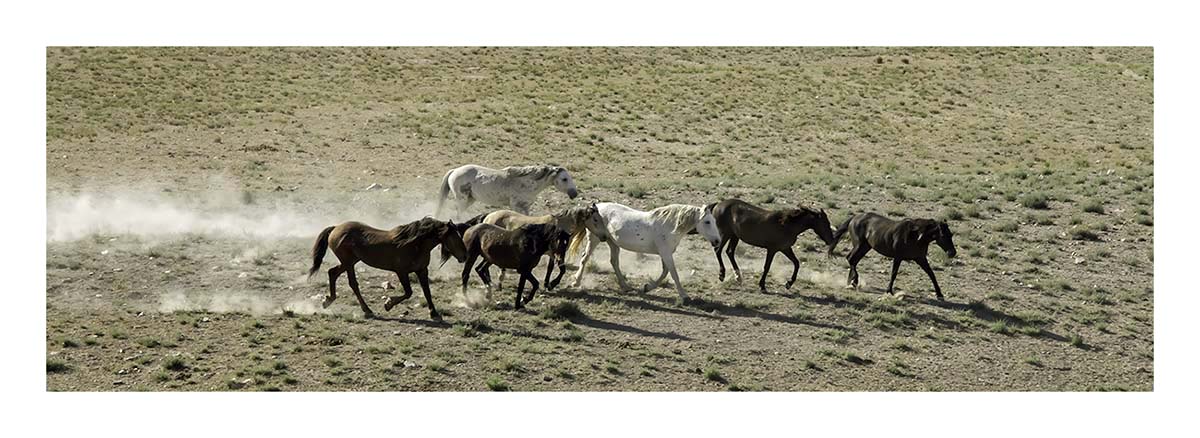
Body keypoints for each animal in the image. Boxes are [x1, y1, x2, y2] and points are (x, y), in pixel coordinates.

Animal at [308, 218, 467, 320]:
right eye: (455, 237)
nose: (464, 256)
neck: (415, 244)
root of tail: (336, 228)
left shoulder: (422, 270)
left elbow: (427, 292)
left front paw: (434, 314)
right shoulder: (401, 272)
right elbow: (408, 292)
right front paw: (388, 304)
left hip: (350, 262)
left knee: (334, 274)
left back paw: (330, 301)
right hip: (348, 262)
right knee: (349, 281)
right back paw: (365, 310)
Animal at [435, 164, 579, 217]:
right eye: (564, 179)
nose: (574, 193)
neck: (528, 183)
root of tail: (454, 171)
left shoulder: (525, 207)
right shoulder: (516, 206)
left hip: (470, 199)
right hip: (462, 199)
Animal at [568, 202, 721, 301]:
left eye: (714, 220)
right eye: (707, 222)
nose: (718, 241)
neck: (669, 226)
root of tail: (594, 208)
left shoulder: (664, 253)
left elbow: (665, 272)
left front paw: (647, 287)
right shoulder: (665, 253)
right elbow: (673, 273)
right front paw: (684, 295)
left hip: (612, 243)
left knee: (614, 262)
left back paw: (626, 286)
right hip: (594, 239)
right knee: (585, 258)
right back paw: (576, 282)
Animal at [827, 213, 957, 301]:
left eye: (951, 234)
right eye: (943, 235)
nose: (953, 253)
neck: (916, 236)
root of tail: (854, 218)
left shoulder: (920, 259)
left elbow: (931, 274)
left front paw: (940, 295)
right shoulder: (898, 257)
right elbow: (894, 274)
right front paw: (889, 291)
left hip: (865, 247)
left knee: (853, 260)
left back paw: (851, 282)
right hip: (859, 245)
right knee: (850, 259)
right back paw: (854, 281)